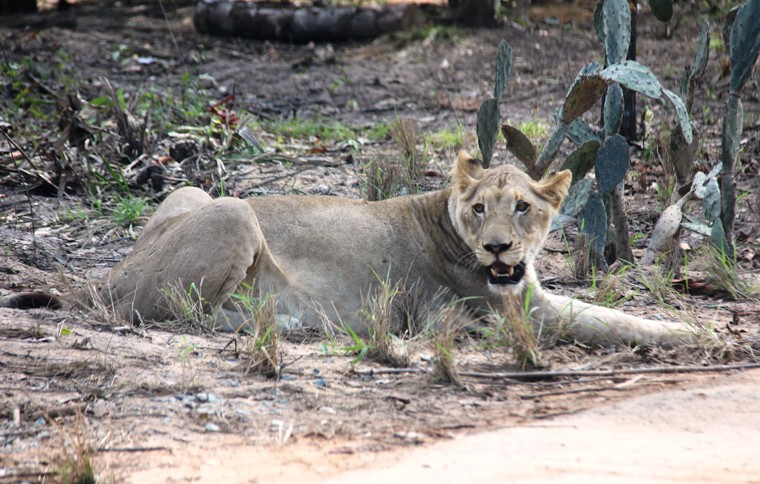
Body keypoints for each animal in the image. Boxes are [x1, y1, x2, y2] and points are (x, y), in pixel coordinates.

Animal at [2, 153, 696, 346]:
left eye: (523, 207)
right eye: (478, 209)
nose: (499, 247)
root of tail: (104, 273)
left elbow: (607, 317)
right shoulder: (459, 315)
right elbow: (603, 322)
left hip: (194, 190)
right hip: (233, 210)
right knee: (172, 313)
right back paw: (278, 319)